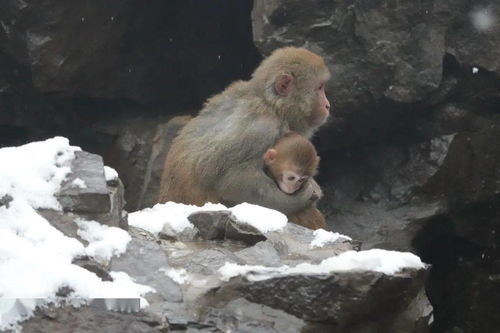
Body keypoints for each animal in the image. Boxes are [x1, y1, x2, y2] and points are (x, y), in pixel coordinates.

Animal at [160, 46, 330, 218]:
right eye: (319, 88)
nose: (327, 105)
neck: (270, 105)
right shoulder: (261, 130)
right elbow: (234, 182)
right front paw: (303, 197)